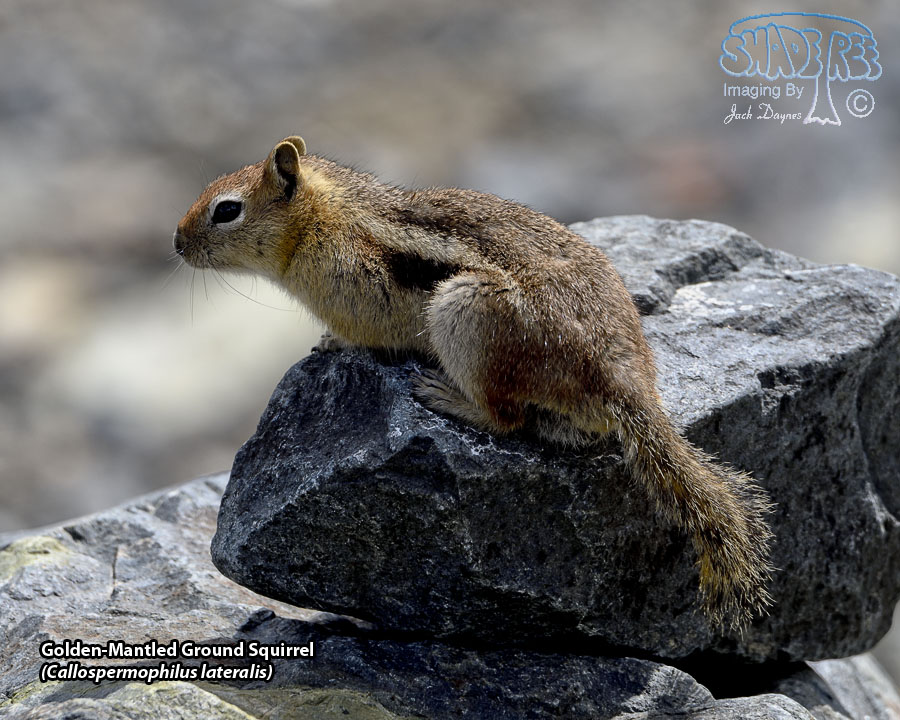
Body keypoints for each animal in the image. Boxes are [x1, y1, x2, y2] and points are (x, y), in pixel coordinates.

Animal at [174, 135, 774, 629]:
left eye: (226, 210)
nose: (176, 244)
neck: (325, 216)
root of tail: (624, 381)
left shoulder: (359, 287)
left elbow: (366, 333)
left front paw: (330, 344)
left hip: (465, 315)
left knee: (506, 417)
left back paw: (445, 397)